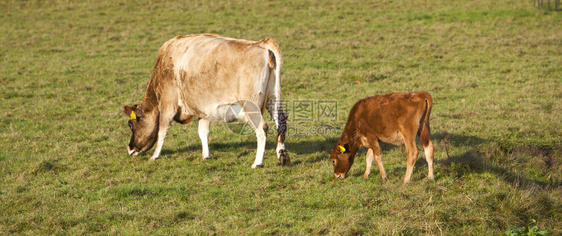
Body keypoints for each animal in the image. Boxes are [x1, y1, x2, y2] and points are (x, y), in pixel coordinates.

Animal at [122, 34, 288, 169]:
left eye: (131, 124)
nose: (129, 149)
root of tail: (262, 43)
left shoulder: (168, 103)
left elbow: (162, 130)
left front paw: (155, 156)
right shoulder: (204, 109)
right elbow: (203, 132)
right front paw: (205, 156)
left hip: (251, 105)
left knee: (262, 129)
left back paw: (257, 163)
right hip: (273, 99)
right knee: (281, 122)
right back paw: (282, 155)